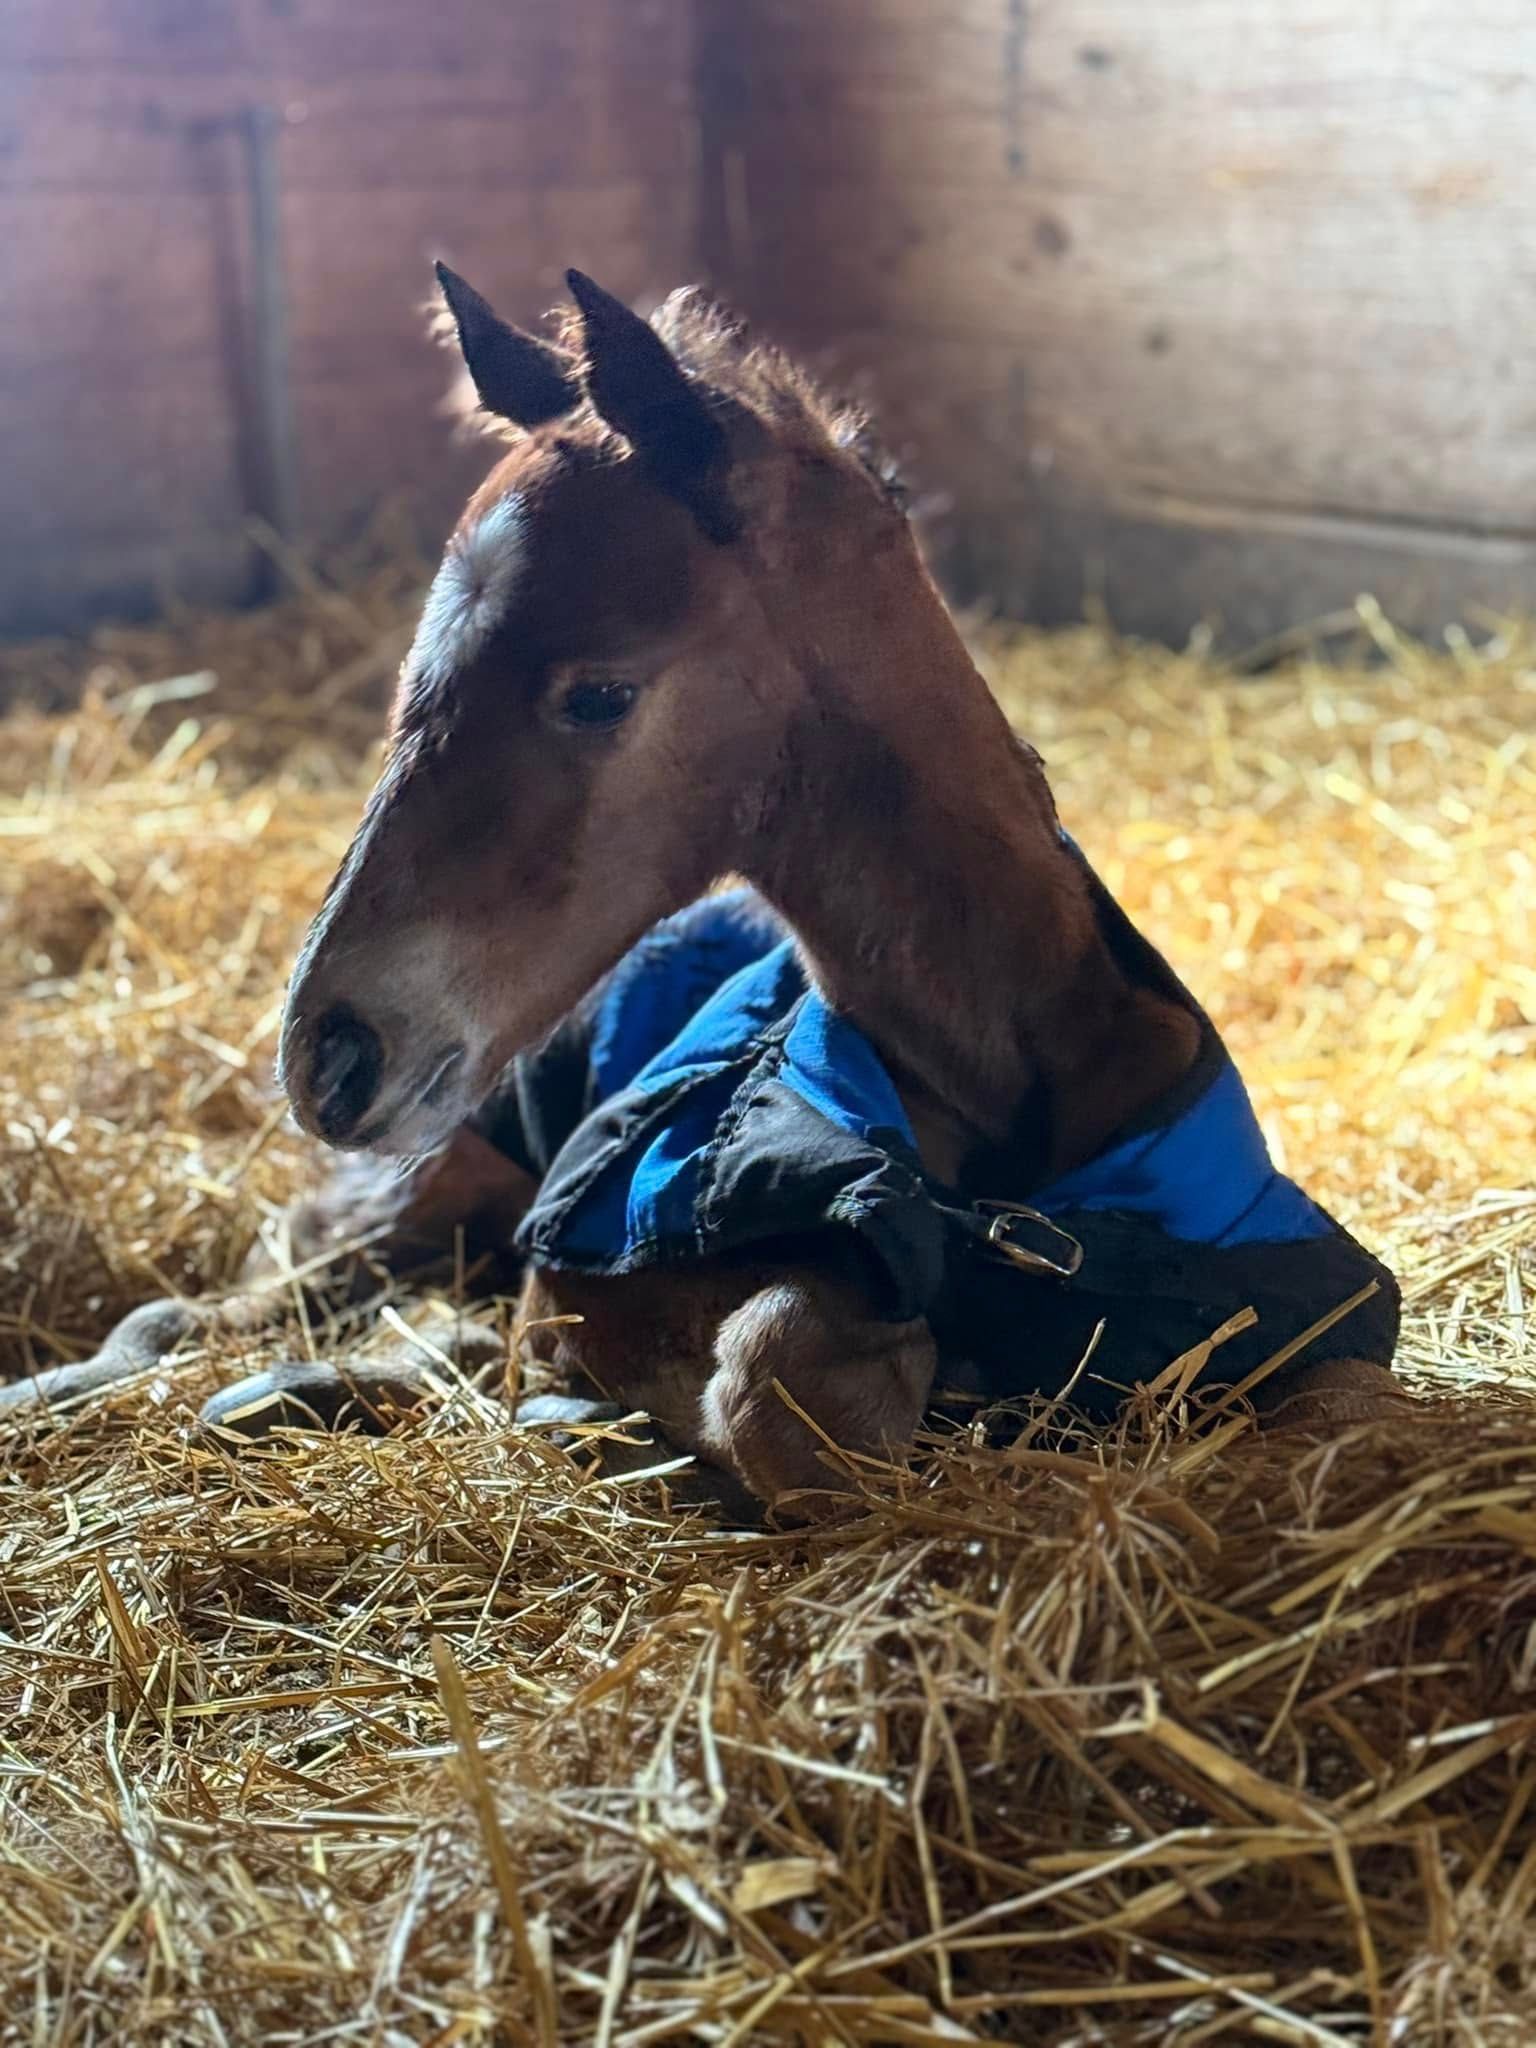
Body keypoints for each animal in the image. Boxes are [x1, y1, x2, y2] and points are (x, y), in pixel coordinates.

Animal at [0, 267, 1408, 1502]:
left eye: (599, 693)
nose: (328, 1053)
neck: (1012, 1107)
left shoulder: (1305, 1306)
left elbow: (1354, 1414)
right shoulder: (581, 1241)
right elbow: (775, 1386)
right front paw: (575, 1406)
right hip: (437, 1174)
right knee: (201, 1305)